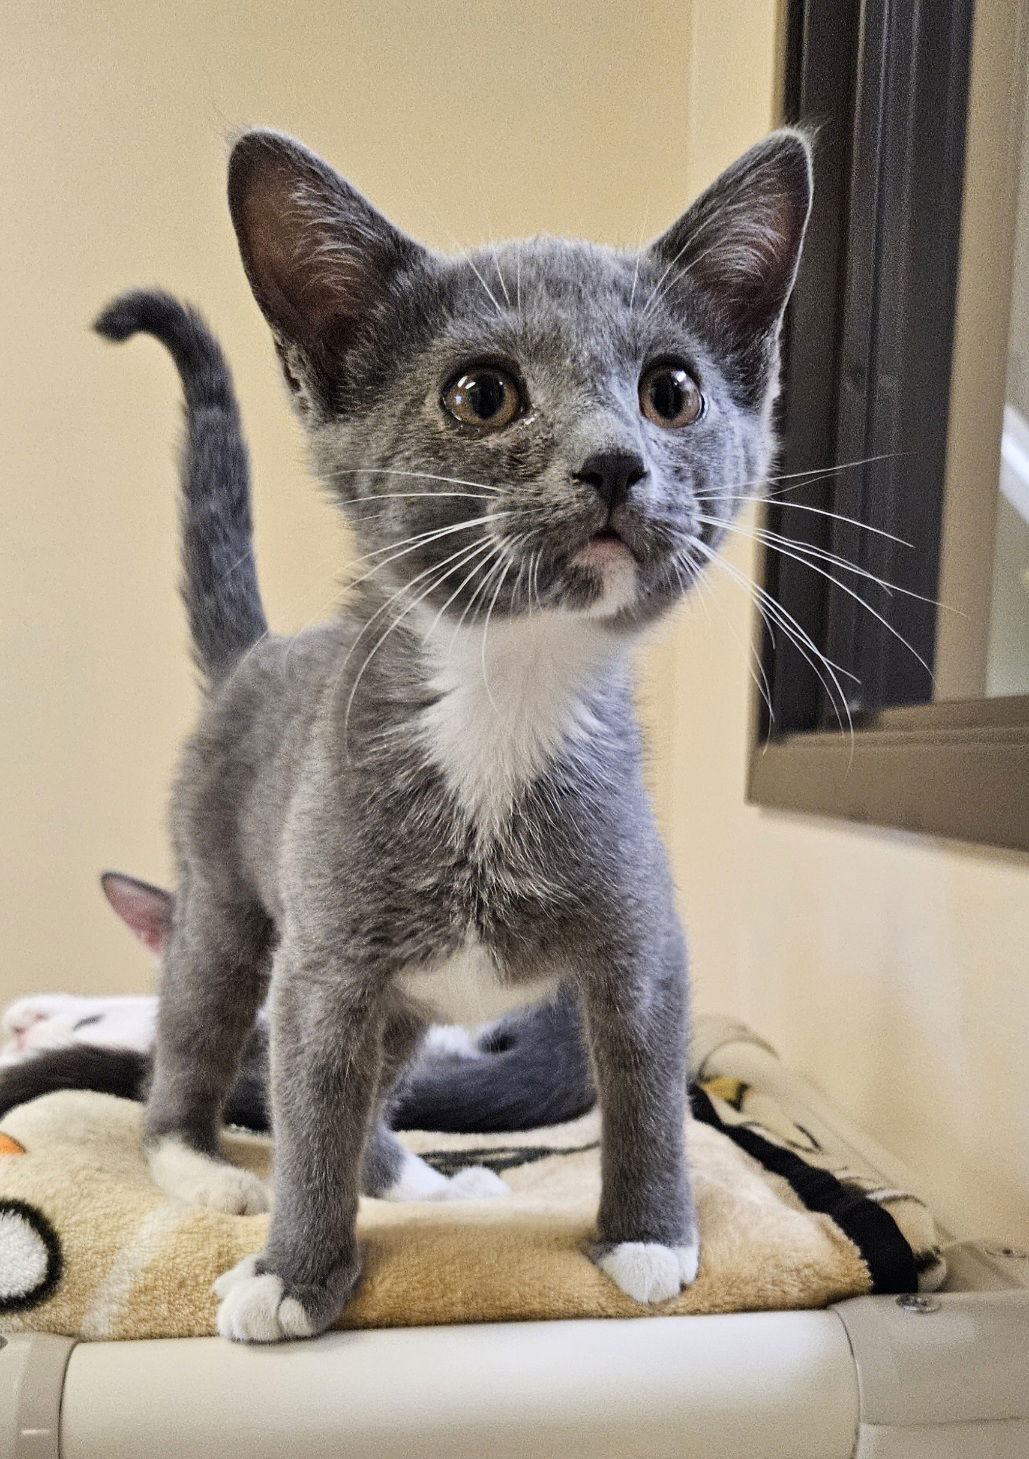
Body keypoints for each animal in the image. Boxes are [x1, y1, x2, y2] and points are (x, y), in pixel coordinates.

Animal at [94, 128, 811, 1342]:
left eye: (671, 391)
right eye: (483, 394)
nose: (614, 461)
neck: (507, 691)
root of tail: (257, 653)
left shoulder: (642, 938)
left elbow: (647, 1087)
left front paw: (650, 1234)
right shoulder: (326, 961)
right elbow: (309, 1112)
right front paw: (294, 1270)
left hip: (407, 1002)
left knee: (371, 1086)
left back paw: (424, 1178)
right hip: (222, 897)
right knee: (202, 1036)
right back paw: (200, 1164)